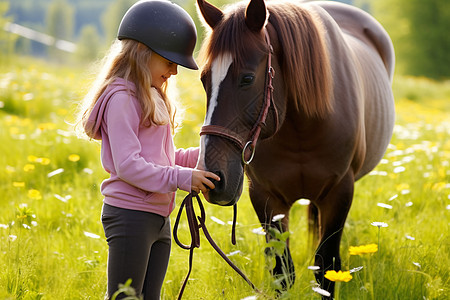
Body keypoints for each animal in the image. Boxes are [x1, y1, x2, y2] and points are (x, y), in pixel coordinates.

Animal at [195, 0, 396, 296]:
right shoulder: (266, 196)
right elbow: (282, 271)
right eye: (204, 78)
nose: (213, 176)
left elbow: (326, 268)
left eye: (247, 78)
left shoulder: (339, 191)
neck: (300, 126)